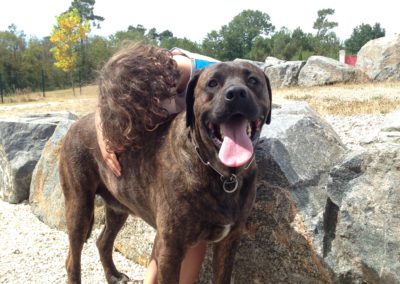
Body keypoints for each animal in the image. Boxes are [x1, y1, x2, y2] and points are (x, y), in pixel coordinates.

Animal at [59, 61, 272, 282]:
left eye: (253, 80)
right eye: (212, 83)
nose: (236, 93)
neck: (222, 175)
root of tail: (75, 124)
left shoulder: (228, 241)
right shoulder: (170, 248)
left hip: (118, 208)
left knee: (103, 241)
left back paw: (113, 275)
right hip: (79, 207)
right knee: (72, 259)